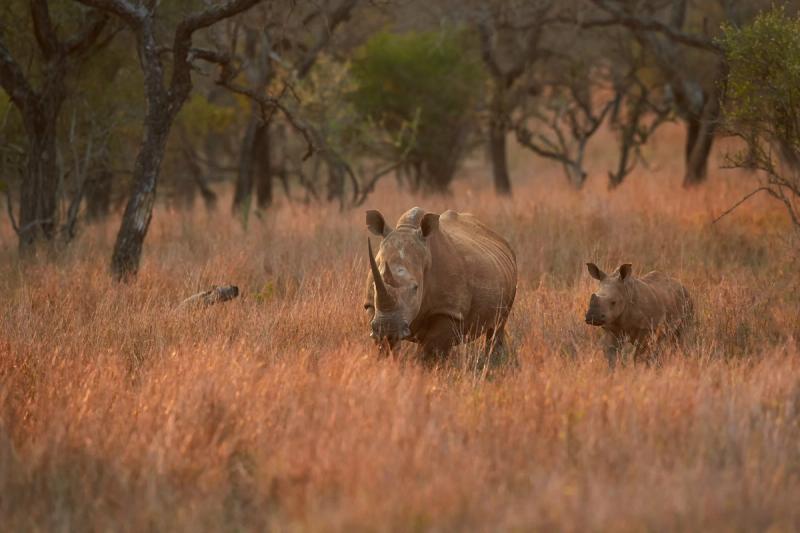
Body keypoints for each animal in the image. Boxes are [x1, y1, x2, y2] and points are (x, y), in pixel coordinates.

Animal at [364, 207, 517, 364]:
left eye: (415, 288)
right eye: (375, 285)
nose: (386, 327)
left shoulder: (447, 310)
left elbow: (431, 354)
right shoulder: (372, 306)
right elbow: (386, 347)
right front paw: (387, 363)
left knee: (498, 325)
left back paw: (494, 361)